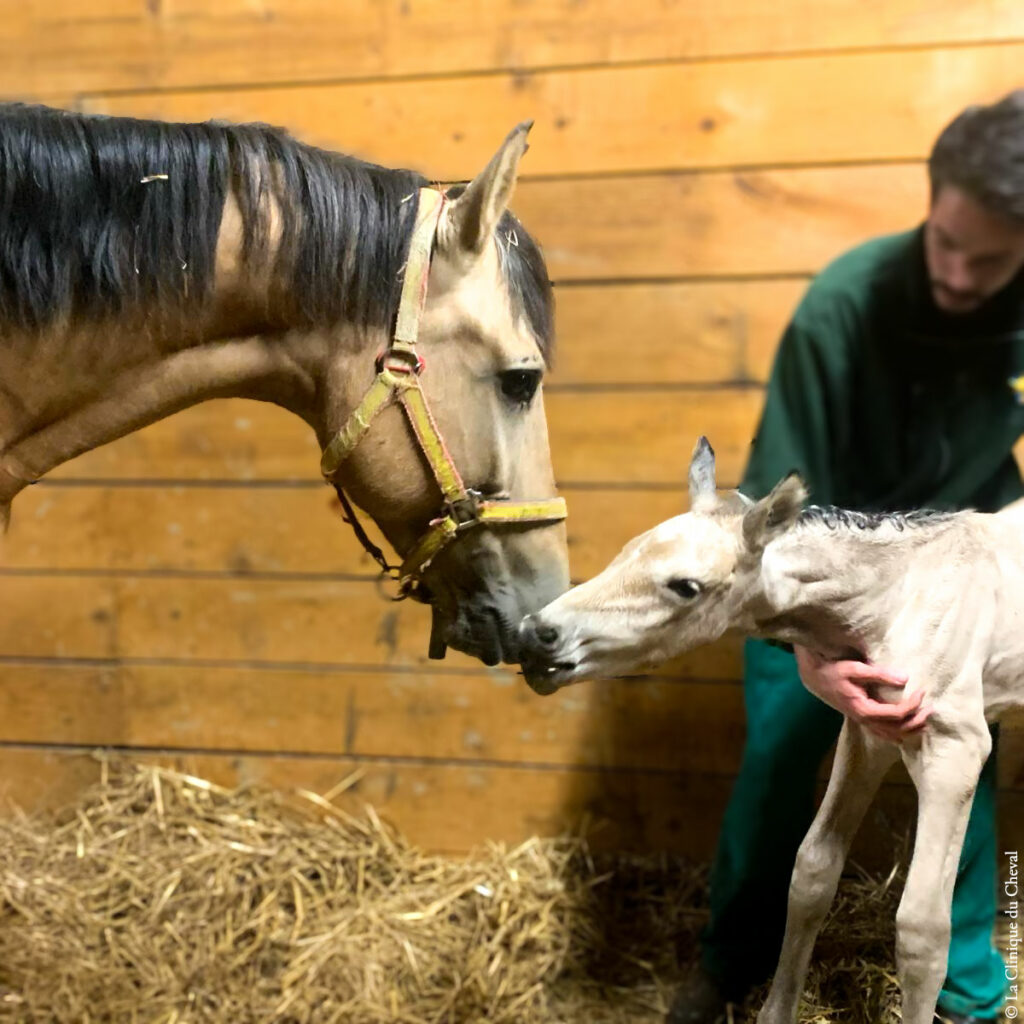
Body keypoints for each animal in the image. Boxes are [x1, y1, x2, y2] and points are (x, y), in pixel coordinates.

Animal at [524, 438, 1019, 1024]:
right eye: (626, 551)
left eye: (686, 587)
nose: (535, 635)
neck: (900, 597)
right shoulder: (868, 731)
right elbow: (812, 872)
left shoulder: (955, 748)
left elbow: (923, 930)